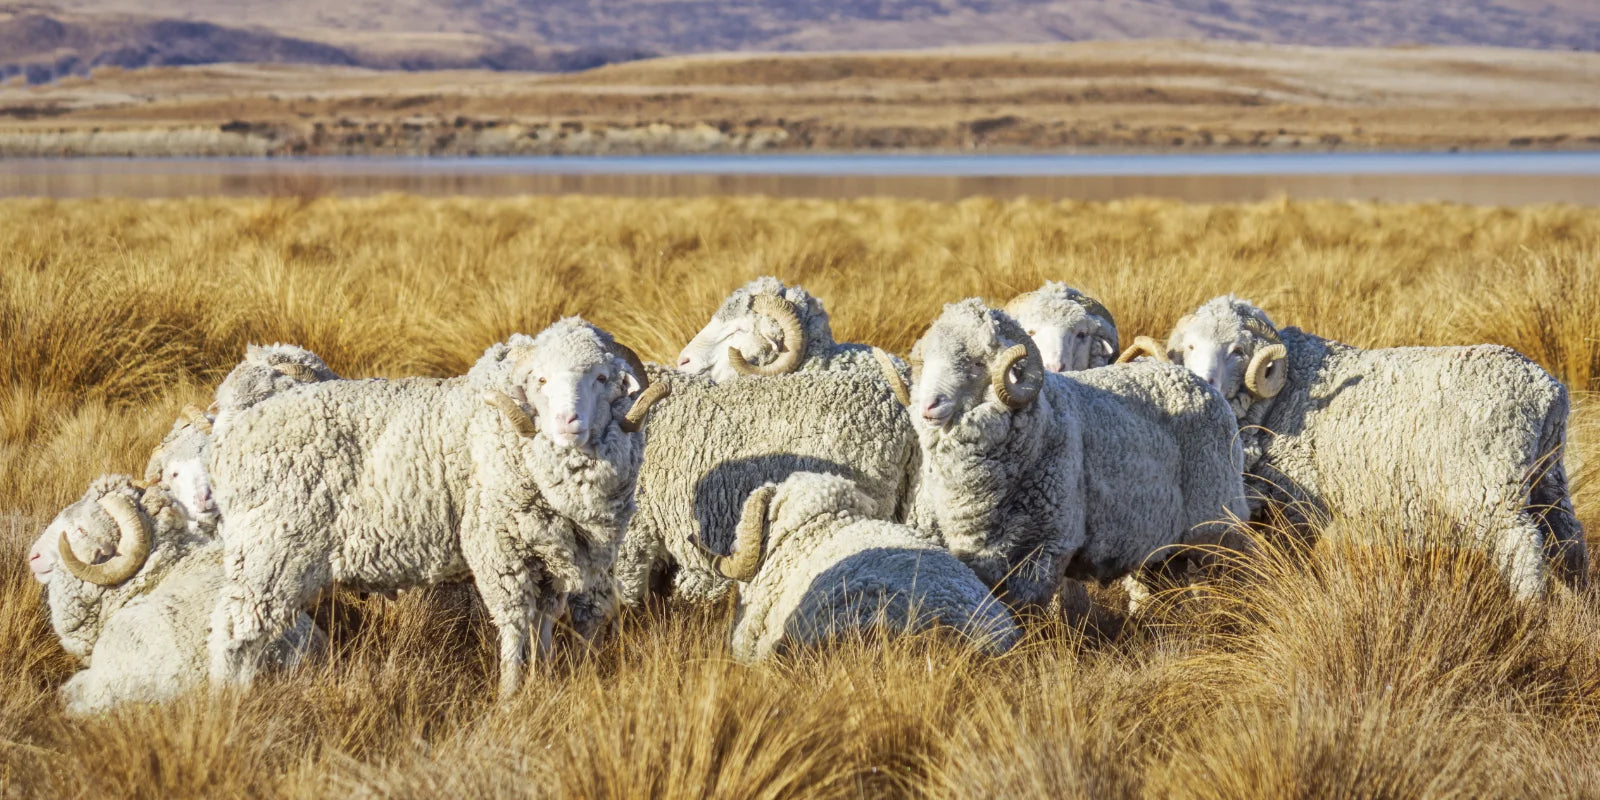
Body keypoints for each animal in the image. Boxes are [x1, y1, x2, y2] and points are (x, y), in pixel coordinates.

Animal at [205, 319, 668, 699]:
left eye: (602, 377)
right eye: (540, 379)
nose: (567, 422)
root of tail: (236, 429)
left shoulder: (551, 562)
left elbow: (543, 625)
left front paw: (543, 678)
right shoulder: (499, 550)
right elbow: (515, 624)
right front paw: (510, 696)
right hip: (271, 551)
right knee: (233, 633)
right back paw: (226, 706)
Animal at [908, 299, 1248, 611]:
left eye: (977, 363)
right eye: (926, 361)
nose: (928, 406)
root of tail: (1195, 380)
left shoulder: (1048, 548)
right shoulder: (978, 556)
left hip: (1218, 526)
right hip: (1162, 549)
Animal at [1118, 295, 1588, 598]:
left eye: (1237, 350)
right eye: (1190, 345)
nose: (1205, 381)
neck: (1285, 393)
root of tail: (1547, 389)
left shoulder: (1298, 502)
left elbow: (1294, 558)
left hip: (1491, 488)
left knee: (1522, 547)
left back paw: (1529, 612)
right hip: (1547, 476)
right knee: (1568, 537)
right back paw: (1579, 603)